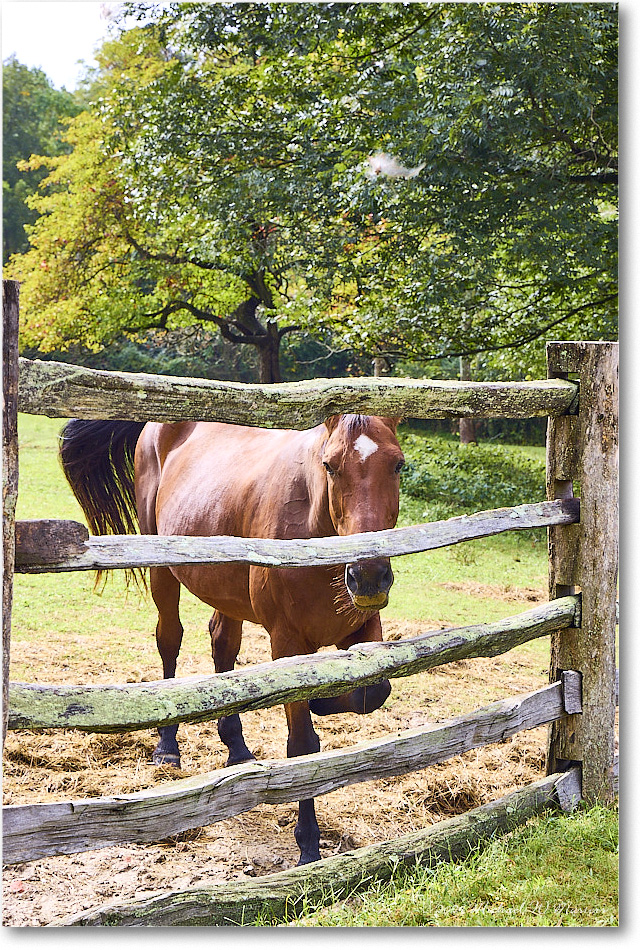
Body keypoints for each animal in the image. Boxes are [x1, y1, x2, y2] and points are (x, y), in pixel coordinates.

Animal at [58, 412, 400, 868]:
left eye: (397, 465)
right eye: (330, 466)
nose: (368, 575)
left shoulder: (362, 629)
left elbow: (371, 693)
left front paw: (321, 701)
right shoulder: (288, 643)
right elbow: (303, 743)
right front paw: (308, 844)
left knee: (223, 648)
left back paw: (236, 746)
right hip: (163, 573)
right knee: (170, 642)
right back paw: (167, 746)